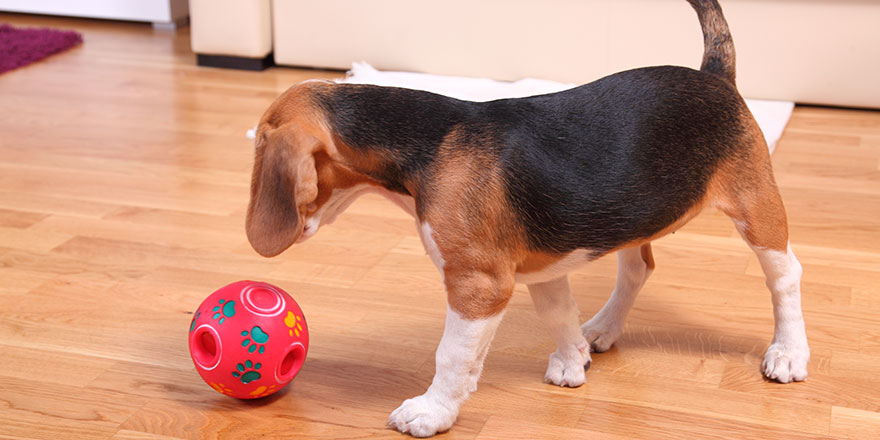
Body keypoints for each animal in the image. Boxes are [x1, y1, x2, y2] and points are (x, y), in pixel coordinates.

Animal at [244, 0, 808, 436]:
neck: (429, 143)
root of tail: (714, 74)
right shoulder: (542, 267)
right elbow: (557, 314)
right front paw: (572, 358)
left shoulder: (479, 284)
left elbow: (453, 356)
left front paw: (432, 412)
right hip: (631, 212)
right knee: (638, 269)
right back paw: (603, 328)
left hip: (755, 207)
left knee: (784, 277)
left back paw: (788, 352)